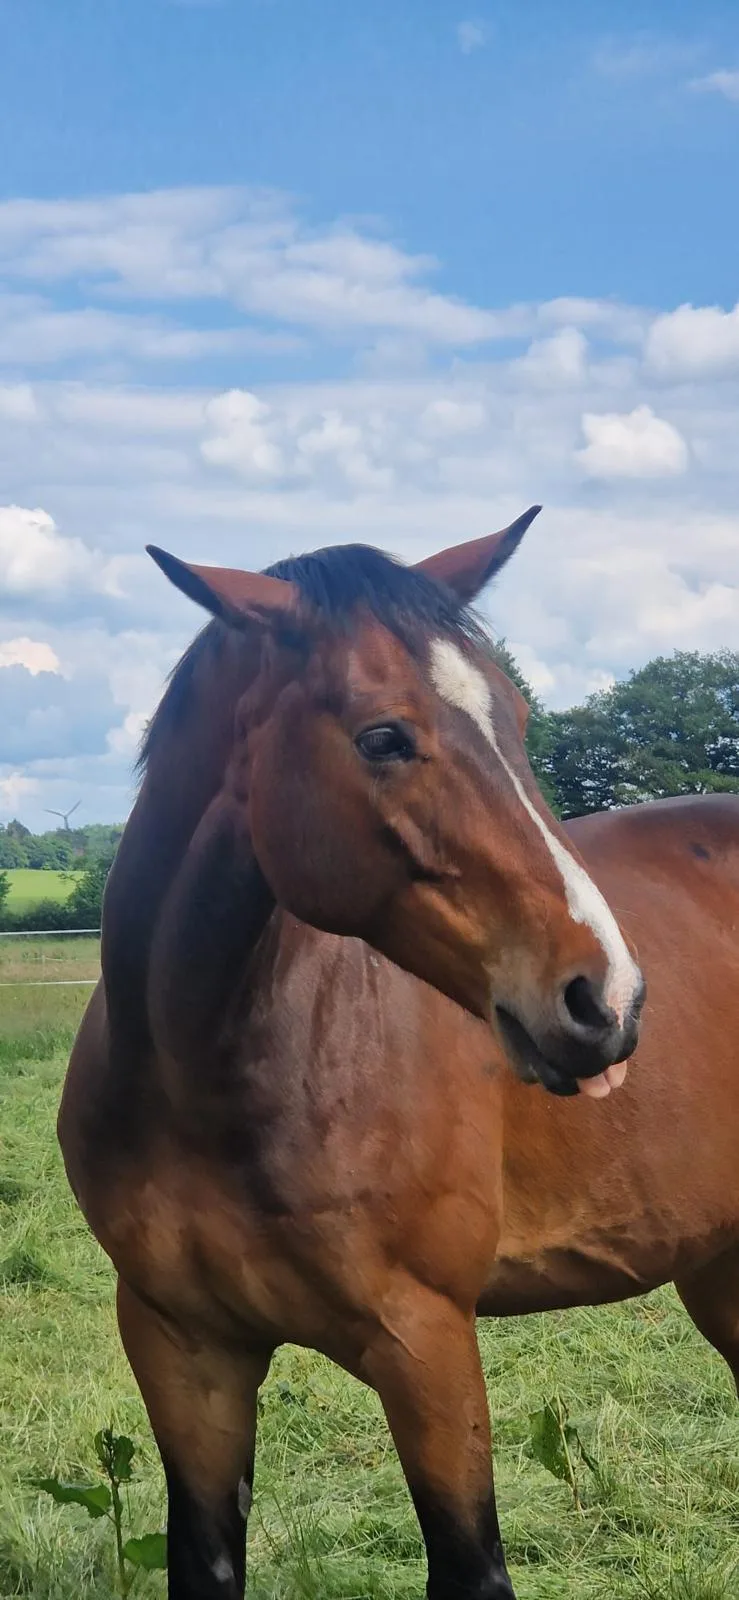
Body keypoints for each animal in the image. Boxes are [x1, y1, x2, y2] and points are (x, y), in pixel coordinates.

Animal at [58, 509, 739, 1600]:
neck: (211, 1085)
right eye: (384, 737)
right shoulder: (183, 1352)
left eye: (514, 718)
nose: (607, 999)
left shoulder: (426, 1345)